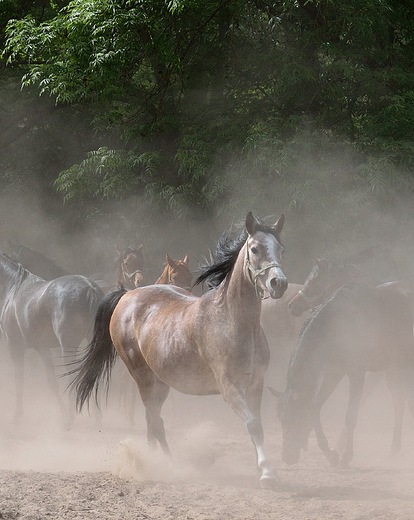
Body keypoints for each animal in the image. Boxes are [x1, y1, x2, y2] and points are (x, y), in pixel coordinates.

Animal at [72, 212, 288, 488]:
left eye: (280, 249)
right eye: (255, 249)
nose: (278, 283)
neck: (234, 320)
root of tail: (126, 296)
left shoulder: (255, 384)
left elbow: (258, 424)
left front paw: (261, 469)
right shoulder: (230, 387)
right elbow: (253, 424)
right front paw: (267, 474)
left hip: (161, 383)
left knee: (151, 421)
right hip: (144, 379)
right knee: (156, 422)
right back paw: (168, 465)